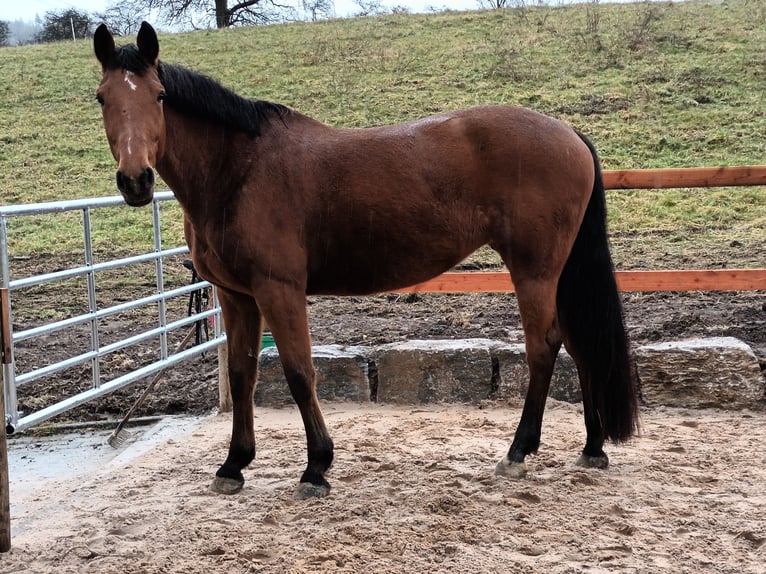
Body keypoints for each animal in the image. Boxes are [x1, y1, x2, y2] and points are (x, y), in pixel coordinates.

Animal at [93, 22, 639, 499]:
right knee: (580, 345)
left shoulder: (278, 289)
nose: (136, 180)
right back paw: (592, 447)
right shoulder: (236, 295)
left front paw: (316, 467)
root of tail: (569, 134)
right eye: (102, 97)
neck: (239, 171)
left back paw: (519, 451)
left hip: (534, 271)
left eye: (159, 95)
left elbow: (298, 372)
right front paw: (234, 465)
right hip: (556, 274)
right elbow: (243, 375)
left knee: (544, 348)